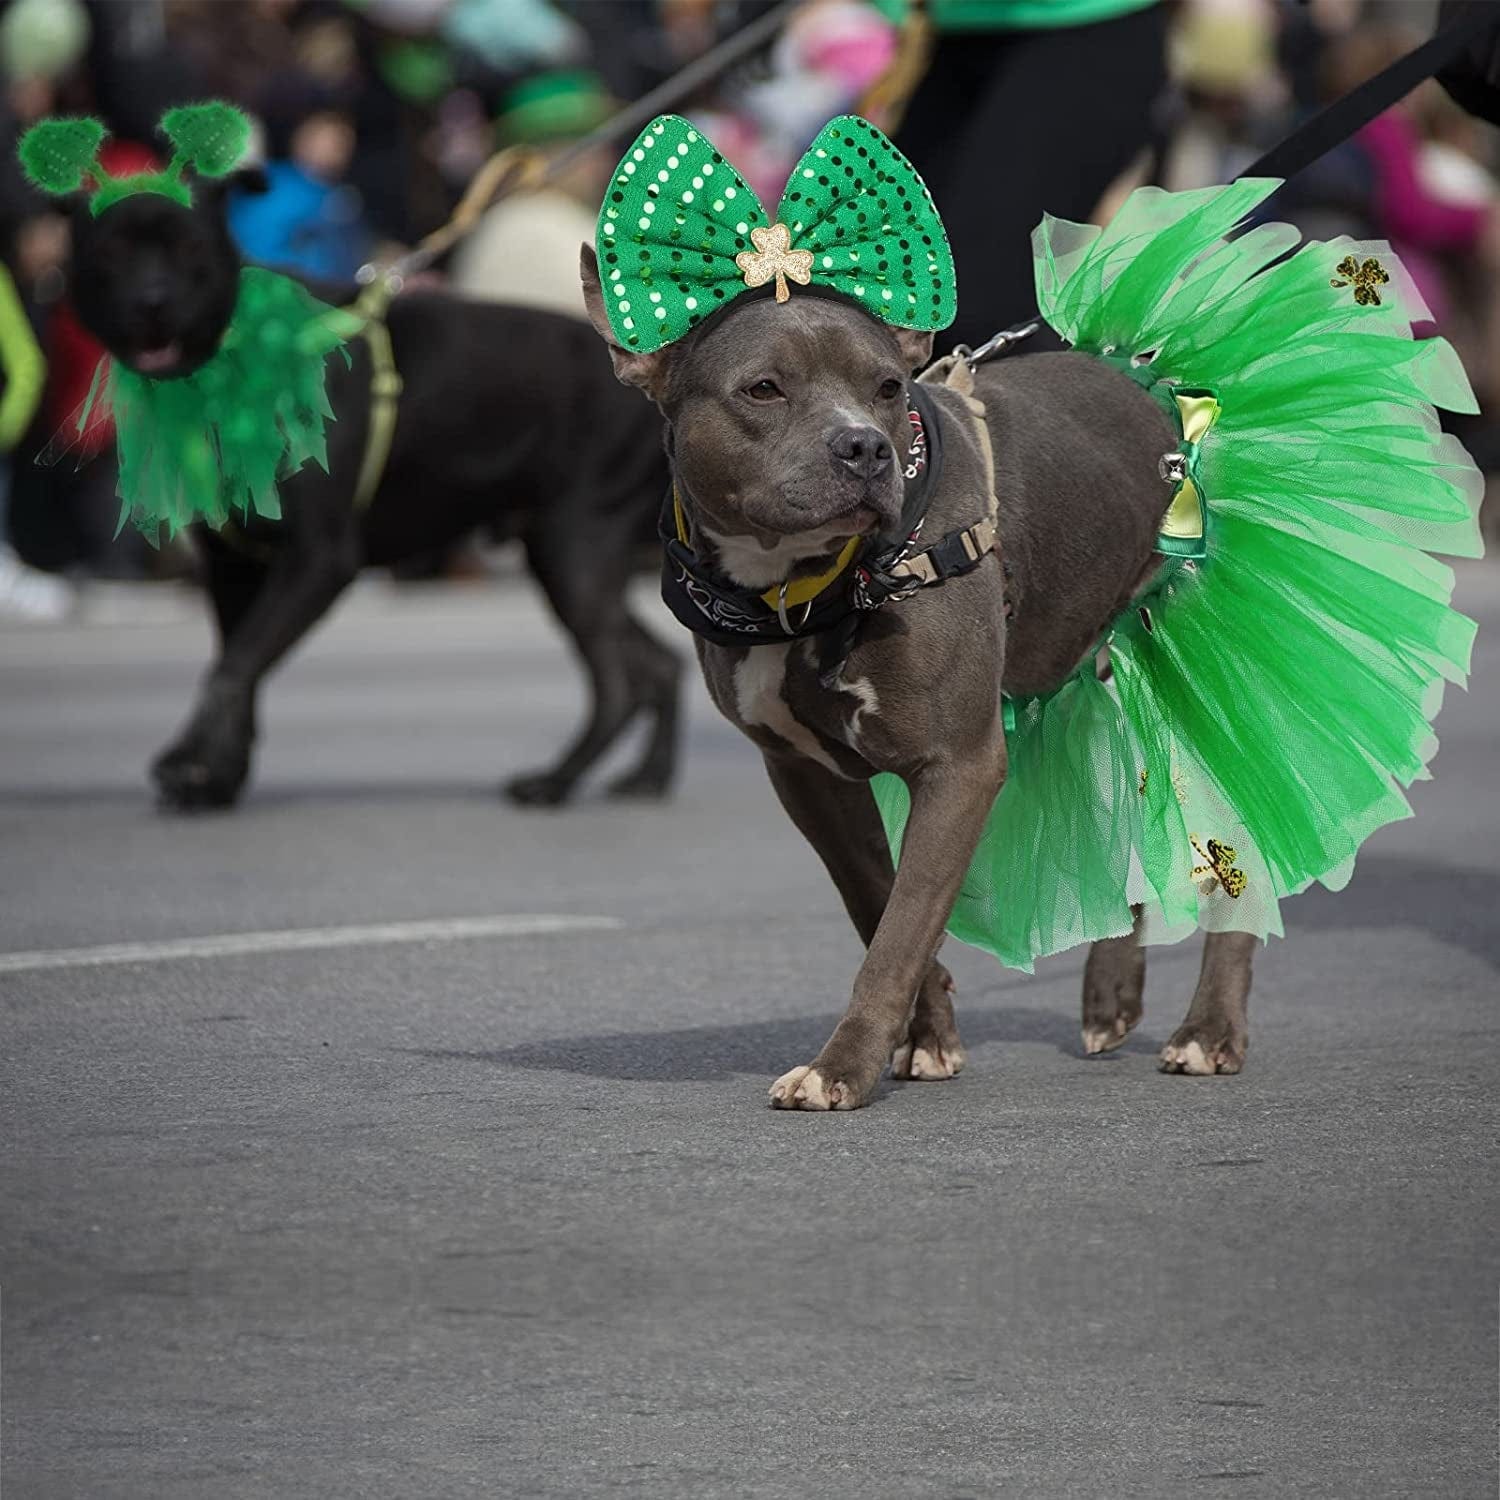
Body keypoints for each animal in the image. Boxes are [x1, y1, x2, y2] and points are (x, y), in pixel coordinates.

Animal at [64, 167, 681, 810]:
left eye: (191, 248)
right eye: (109, 252)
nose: (151, 302)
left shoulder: (317, 560)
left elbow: (234, 667)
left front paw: (189, 765)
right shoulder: (232, 565)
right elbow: (238, 666)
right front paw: (217, 776)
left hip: (575, 545)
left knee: (618, 680)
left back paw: (555, 781)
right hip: (561, 553)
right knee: (658, 665)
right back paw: (645, 776)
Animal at [582, 246, 1254, 1110]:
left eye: (888, 389)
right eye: (764, 388)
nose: (864, 448)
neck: (804, 590)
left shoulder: (959, 767)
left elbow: (900, 931)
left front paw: (841, 1068)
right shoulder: (808, 777)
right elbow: (880, 905)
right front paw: (926, 1036)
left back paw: (1209, 1031)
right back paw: (1112, 996)